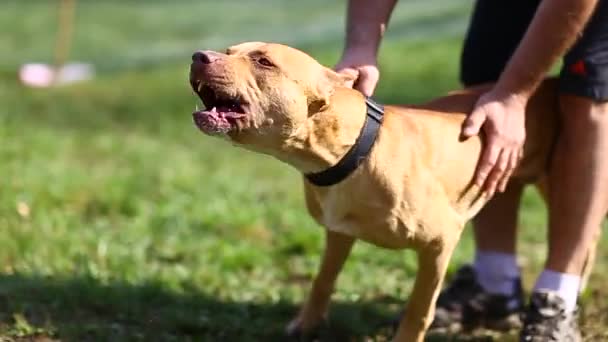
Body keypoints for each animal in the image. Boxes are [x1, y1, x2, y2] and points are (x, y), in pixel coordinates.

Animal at [186, 42, 592, 342]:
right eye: (229, 50)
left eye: (264, 61)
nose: (199, 55)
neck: (352, 150)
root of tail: (548, 83)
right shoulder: (339, 232)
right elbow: (322, 280)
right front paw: (306, 325)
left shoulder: (440, 242)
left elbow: (419, 308)